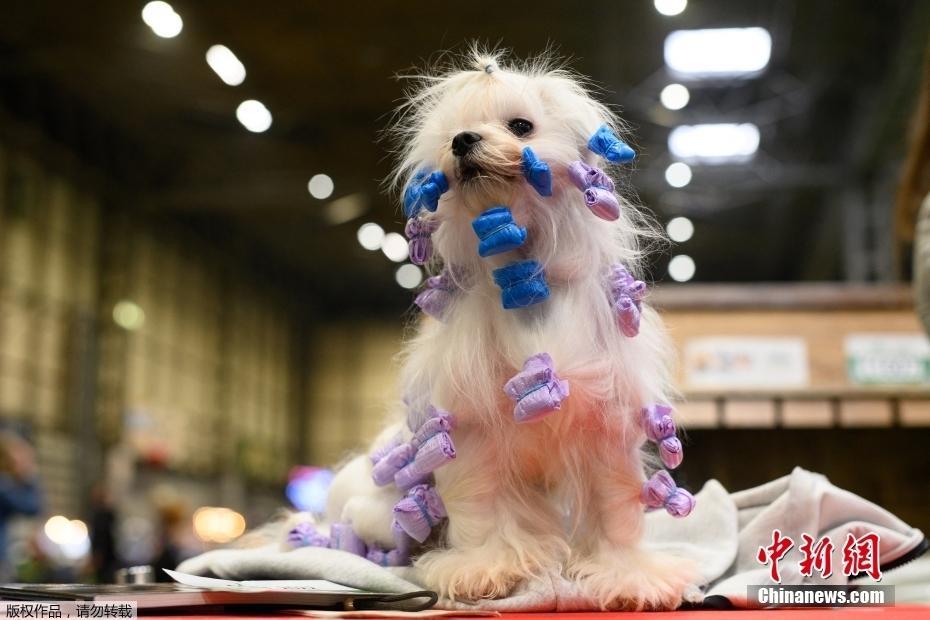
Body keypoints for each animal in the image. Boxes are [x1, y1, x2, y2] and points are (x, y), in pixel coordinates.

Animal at [316, 49, 692, 612]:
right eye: (453, 133)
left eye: (520, 126)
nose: (463, 141)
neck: (525, 277)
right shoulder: (473, 431)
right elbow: (482, 505)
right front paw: (484, 568)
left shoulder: (606, 426)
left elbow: (615, 507)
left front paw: (629, 577)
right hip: (378, 511)